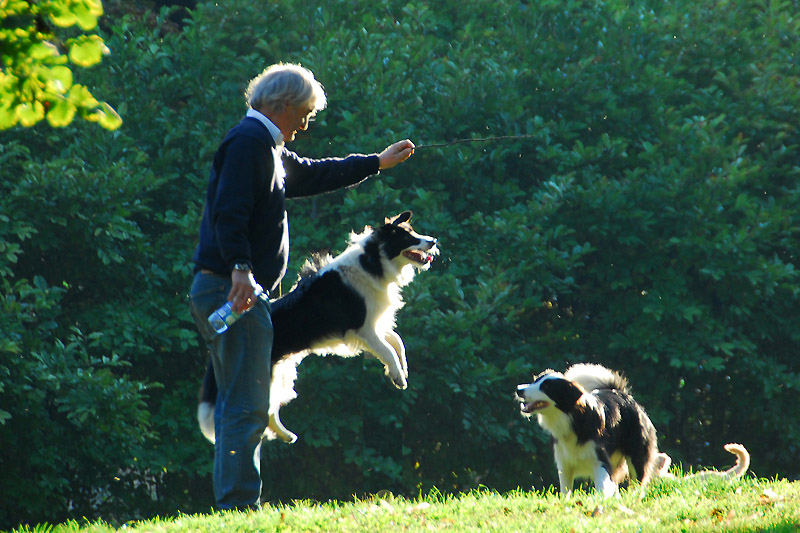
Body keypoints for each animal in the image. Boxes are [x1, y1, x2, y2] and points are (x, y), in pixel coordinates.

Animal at [198, 210, 438, 442]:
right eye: (408, 237)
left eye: (413, 231)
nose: (433, 241)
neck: (373, 261)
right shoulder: (363, 329)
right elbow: (388, 349)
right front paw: (398, 376)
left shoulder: (373, 324)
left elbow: (397, 341)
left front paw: (403, 368)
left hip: (281, 372)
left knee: (270, 410)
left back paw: (286, 435)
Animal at [516, 364, 660, 496]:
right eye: (535, 381)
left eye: (546, 387)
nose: (519, 389)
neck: (571, 420)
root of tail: (621, 393)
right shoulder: (564, 463)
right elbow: (565, 491)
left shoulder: (600, 459)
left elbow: (601, 487)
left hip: (636, 453)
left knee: (637, 480)